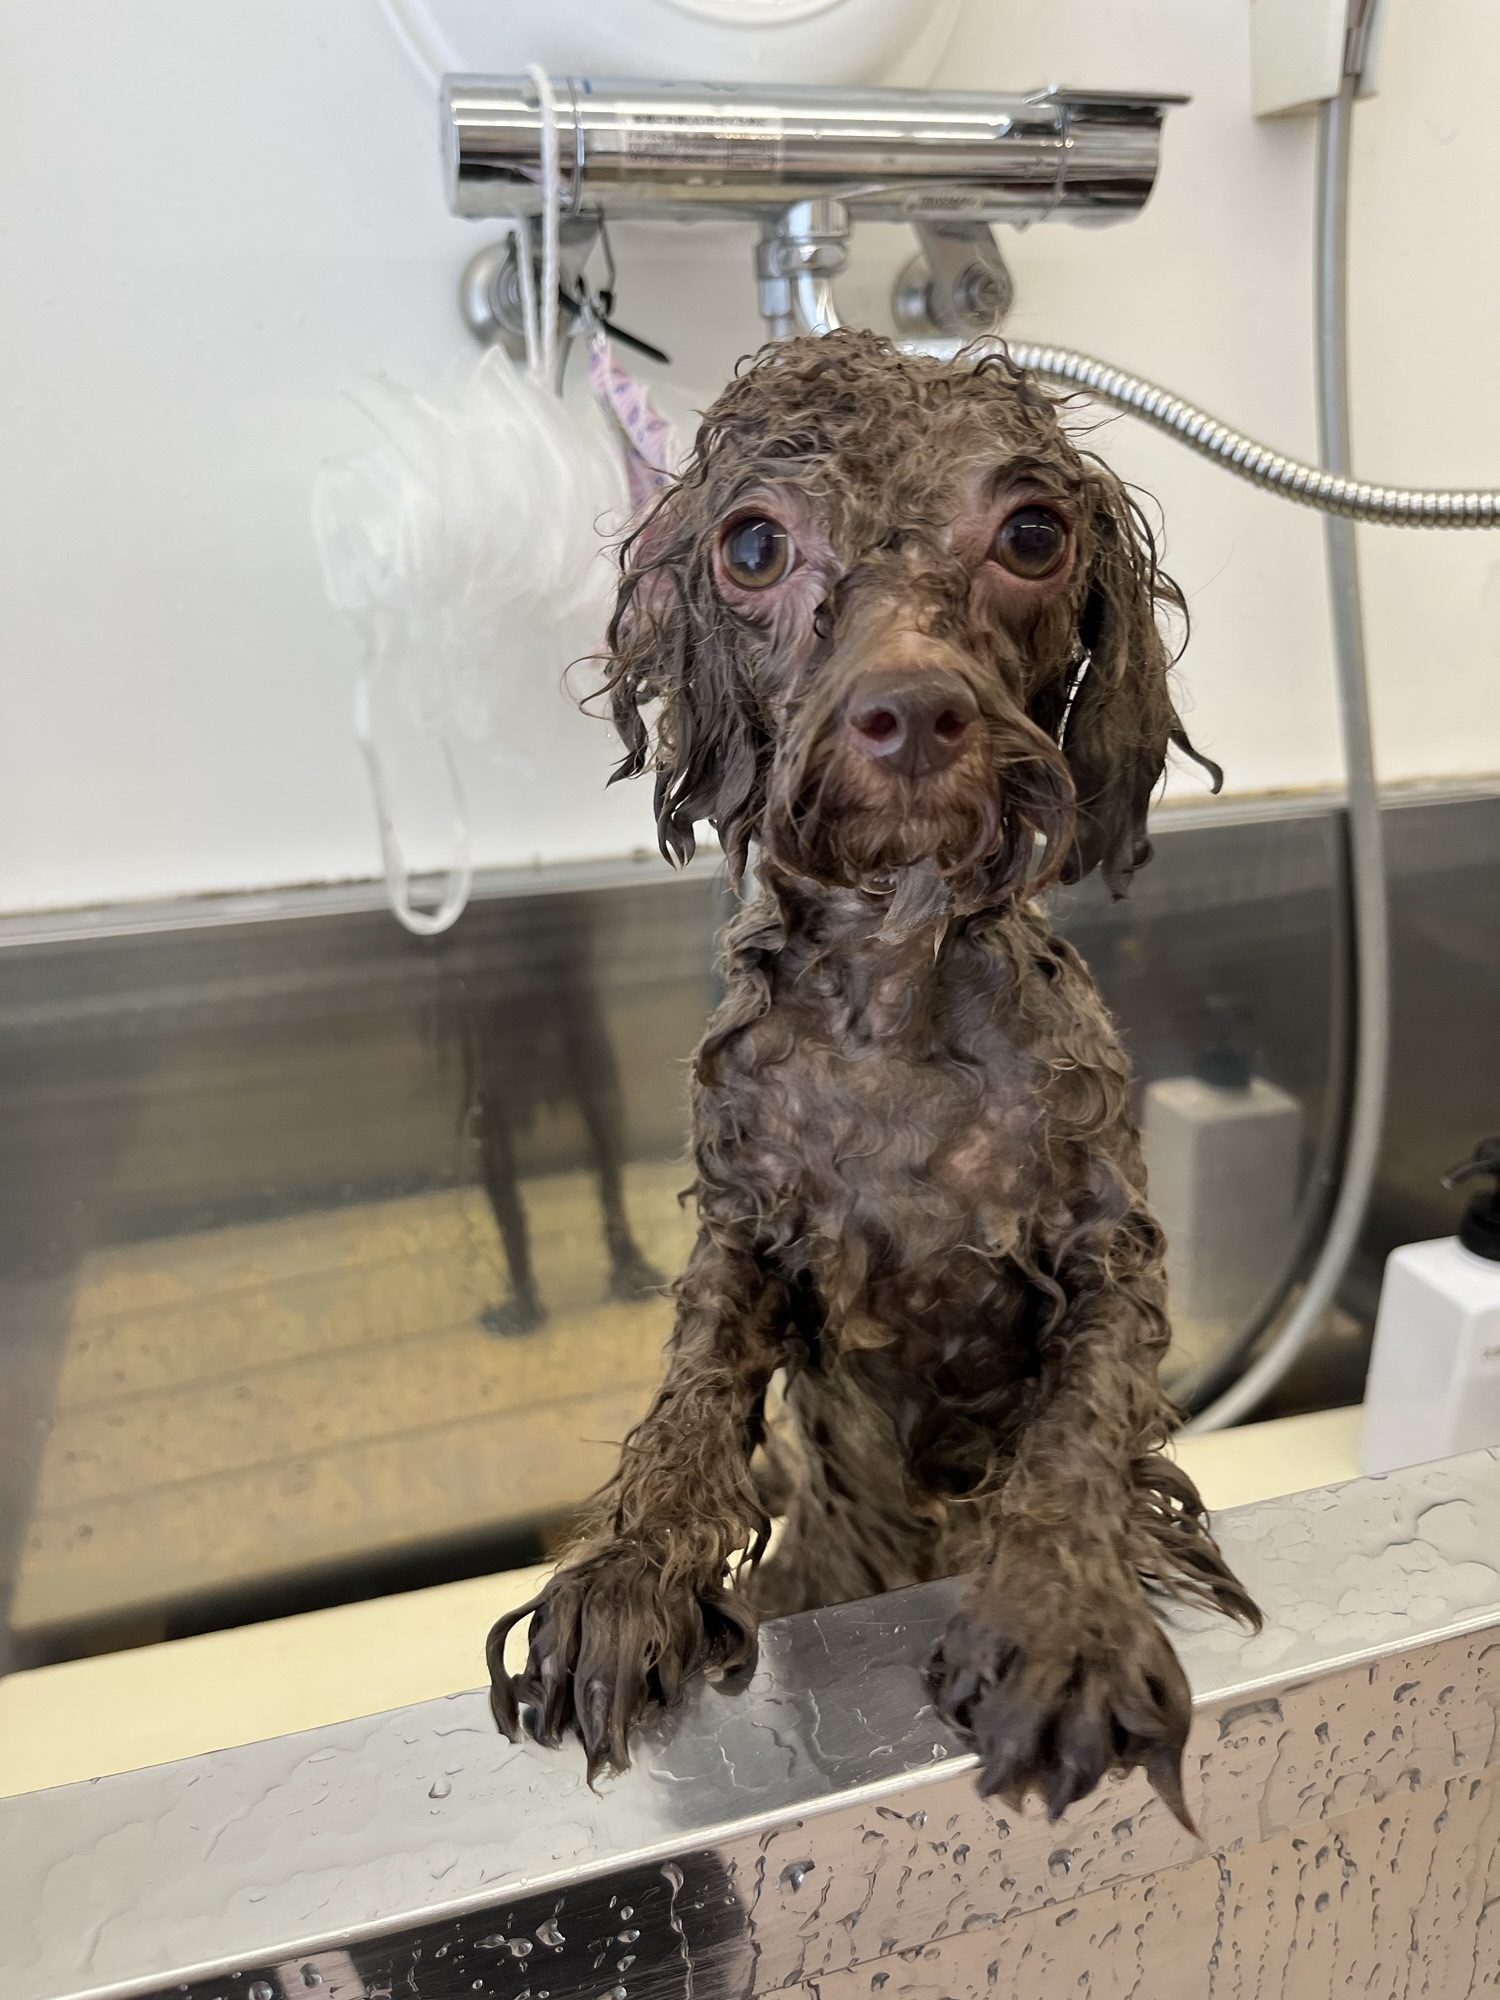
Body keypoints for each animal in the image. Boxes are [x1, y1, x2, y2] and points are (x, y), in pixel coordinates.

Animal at [489, 330, 1259, 1828]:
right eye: (752, 546)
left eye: (1032, 533)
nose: (907, 711)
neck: (896, 1009)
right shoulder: (746, 1226)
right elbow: (692, 1394)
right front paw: (627, 1571)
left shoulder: (1108, 1254)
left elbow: (1080, 1428)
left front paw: (1062, 1613)